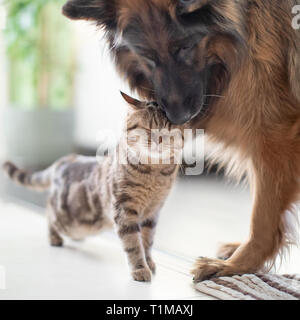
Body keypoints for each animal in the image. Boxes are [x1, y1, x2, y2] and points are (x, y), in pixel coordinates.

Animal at [2, 93, 183, 282]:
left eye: (169, 132)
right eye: (147, 128)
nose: (159, 140)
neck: (154, 173)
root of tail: (65, 159)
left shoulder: (153, 213)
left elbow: (147, 241)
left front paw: (148, 262)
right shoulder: (124, 209)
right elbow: (133, 244)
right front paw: (140, 268)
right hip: (66, 219)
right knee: (49, 212)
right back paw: (54, 238)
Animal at [62, 0, 300, 282]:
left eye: (185, 47)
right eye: (147, 56)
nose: (178, 118)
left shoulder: (275, 137)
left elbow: (262, 217)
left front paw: (235, 266)